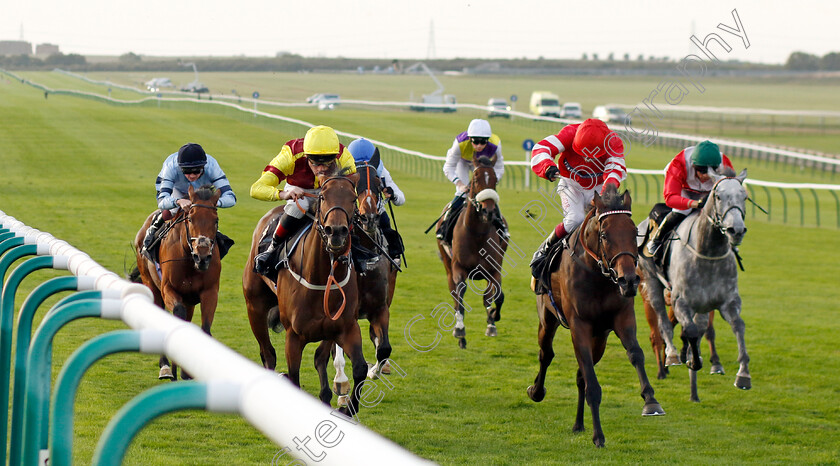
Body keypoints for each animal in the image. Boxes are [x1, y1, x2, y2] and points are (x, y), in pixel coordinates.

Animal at [134, 184, 221, 380]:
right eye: (190, 218)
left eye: (216, 220)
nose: (202, 256)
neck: (189, 259)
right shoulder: (169, 289)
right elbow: (177, 314)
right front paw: (172, 369)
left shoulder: (210, 292)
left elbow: (205, 327)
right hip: (152, 285)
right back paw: (166, 367)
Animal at [240, 175, 364, 416]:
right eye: (323, 196)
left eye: (353, 198)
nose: (336, 232)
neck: (321, 277)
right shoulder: (294, 336)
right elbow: (294, 376)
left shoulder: (344, 327)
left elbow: (359, 368)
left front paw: (346, 408)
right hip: (254, 307)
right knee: (268, 354)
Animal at [436, 155, 508, 348]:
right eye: (475, 179)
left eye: (495, 179)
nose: (488, 210)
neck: (477, 234)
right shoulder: (458, 268)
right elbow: (460, 295)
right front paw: (460, 330)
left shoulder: (494, 270)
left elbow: (498, 296)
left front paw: (493, 318)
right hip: (447, 265)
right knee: (454, 296)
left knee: (488, 296)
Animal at [524, 186, 664, 448]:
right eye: (605, 235)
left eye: (635, 233)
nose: (630, 280)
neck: (597, 274)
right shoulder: (579, 326)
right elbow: (591, 382)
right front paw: (598, 435)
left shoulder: (622, 318)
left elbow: (635, 354)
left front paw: (651, 401)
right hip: (547, 319)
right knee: (546, 354)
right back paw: (536, 391)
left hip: (600, 339)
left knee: (580, 376)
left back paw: (579, 424)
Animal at [640, 167, 752, 400]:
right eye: (718, 197)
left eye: (744, 196)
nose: (736, 230)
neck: (708, 253)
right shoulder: (681, 301)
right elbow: (689, 331)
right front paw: (692, 360)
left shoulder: (727, 302)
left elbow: (738, 325)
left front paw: (743, 375)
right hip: (652, 282)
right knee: (662, 321)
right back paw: (672, 355)